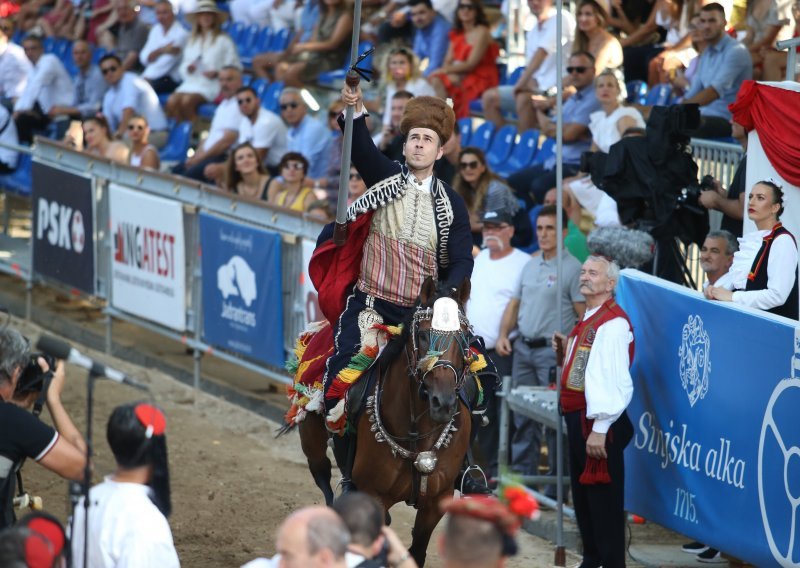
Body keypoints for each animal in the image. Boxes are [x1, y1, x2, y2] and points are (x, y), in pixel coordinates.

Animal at [300, 278, 476, 564]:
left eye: (465, 339)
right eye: (423, 335)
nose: (443, 402)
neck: (418, 435)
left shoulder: (437, 501)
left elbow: (417, 552)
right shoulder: (375, 495)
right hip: (312, 440)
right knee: (322, 475)